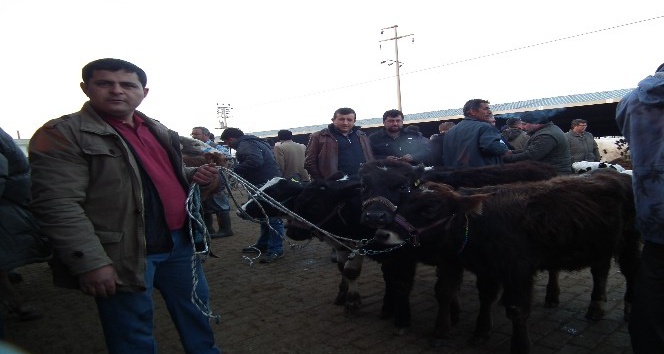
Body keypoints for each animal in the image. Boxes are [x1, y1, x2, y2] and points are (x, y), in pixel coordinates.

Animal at [368, 170, 640, 352]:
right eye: (402, 203)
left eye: (429, 210)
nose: (382, 234)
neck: (480, 225)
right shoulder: (486, 269)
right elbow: (485, 298)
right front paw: (480, 331)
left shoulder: (517, 271)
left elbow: (517, 309)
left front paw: (520, 346)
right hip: (601, 246)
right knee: (600, 271)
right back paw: (595, 307)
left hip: (629, 242)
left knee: (631, 273)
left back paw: (628, 310)